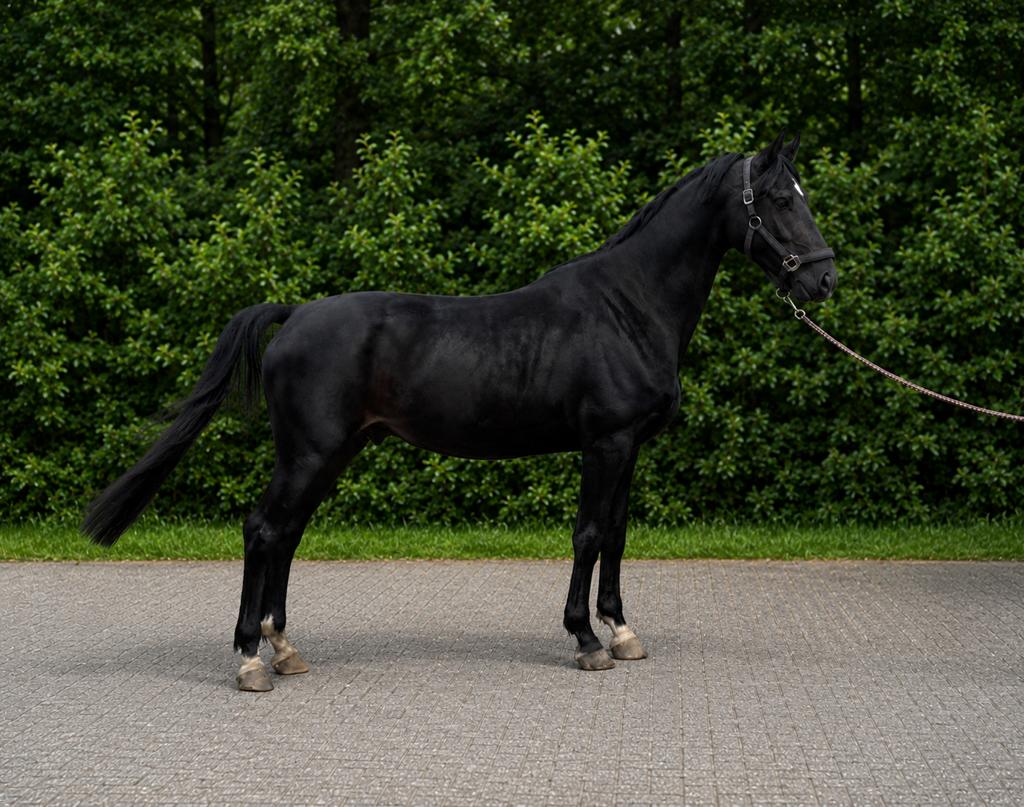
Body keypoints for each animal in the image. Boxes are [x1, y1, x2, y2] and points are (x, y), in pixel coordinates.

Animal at [83, 133, 836, 691]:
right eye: (777, 198)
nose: (824, 277)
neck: (627, 305)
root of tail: (293, 314)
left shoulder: (629, 449)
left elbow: (617, 536)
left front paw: (622, 631)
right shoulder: (606, 444)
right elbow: (590, 534)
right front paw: (586, 638)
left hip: (332, 452)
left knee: (286, 534)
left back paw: (284, 649)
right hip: (310, 452)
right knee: (263, 529)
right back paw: (248, 660)